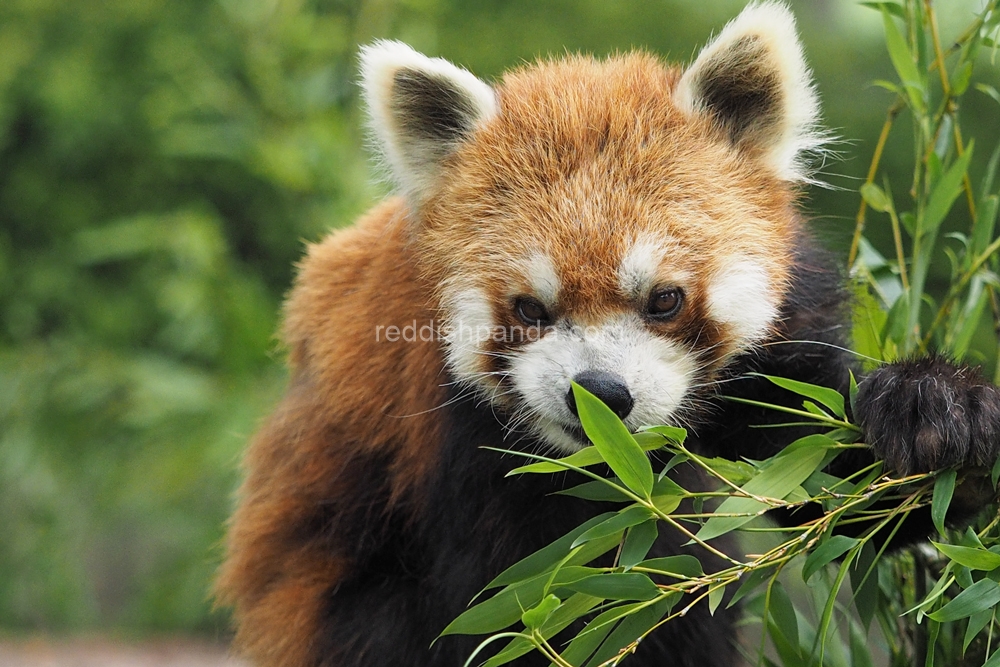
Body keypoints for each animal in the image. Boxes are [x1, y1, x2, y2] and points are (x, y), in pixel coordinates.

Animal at [217, 5, 1000, 667]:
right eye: (531, 308)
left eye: (664, 299)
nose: (598, 393)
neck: (620, 464)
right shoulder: (450, 451)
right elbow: (526, 608)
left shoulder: (785, 346)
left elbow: (841, 493)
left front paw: (935, 412)